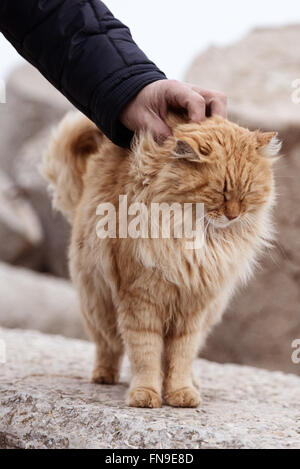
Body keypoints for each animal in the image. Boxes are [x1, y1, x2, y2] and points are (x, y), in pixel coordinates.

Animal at [42, 111, 282, 408]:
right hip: (98, 306)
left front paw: (180, 393)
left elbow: (180, 357)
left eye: (247, 192)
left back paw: (192, 383)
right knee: (108, 347)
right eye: (220, 191)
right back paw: (104, 376)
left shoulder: (193, 308)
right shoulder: (141, 301)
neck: (197, 241)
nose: (233, 215)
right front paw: (146, 394)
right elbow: (146, 353)